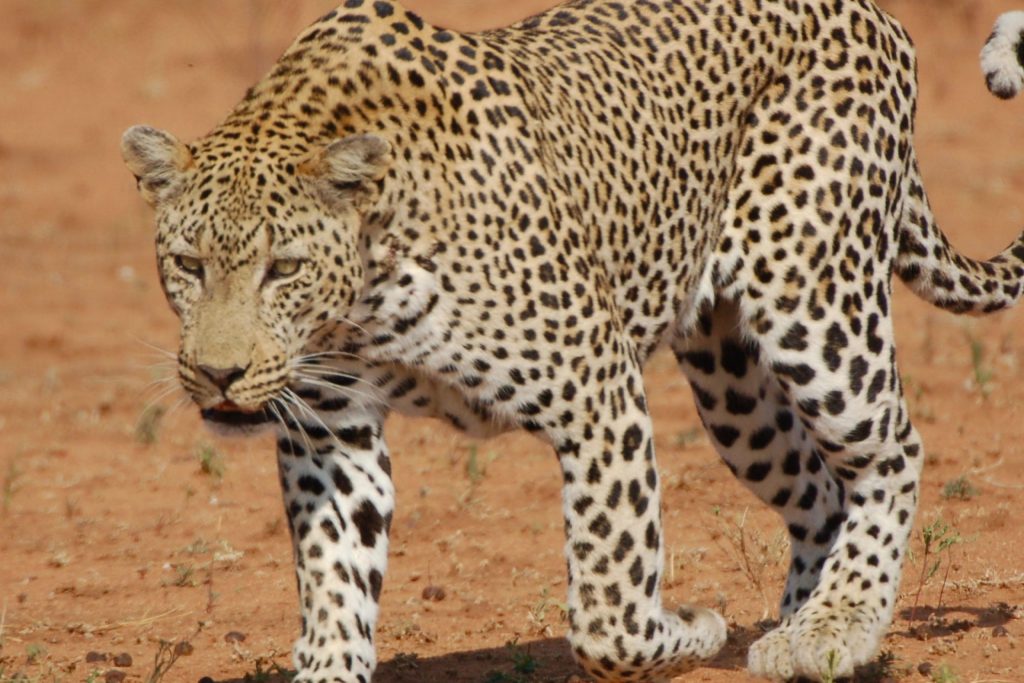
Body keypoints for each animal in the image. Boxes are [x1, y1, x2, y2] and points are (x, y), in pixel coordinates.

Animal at [121, 1, 1024, 683]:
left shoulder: (596, 389)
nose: (217, 373)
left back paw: (838, 624)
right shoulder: (331, 434)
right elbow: (335, 584)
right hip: (732, 386)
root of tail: (874, 13)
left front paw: (689, 626)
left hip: (815, 303)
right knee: (817, 490)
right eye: (188, 264)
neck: (363, 286)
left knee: (890, 453)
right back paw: (799, 621)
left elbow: (608, 603)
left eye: (283, 268)